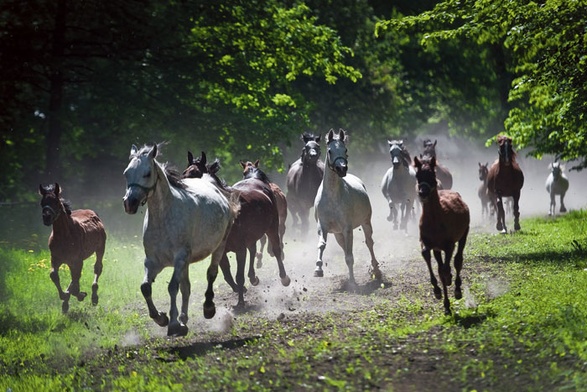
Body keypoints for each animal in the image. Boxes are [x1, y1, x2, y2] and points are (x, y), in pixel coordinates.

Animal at [39, 182, 107, 314]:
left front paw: (80, 295)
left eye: (56, 202)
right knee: (75, 277)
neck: (64, 236)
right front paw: (65, 297)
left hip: (100, 248)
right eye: (42, 203)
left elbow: (75, 284)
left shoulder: (76, 260)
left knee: (97, 268)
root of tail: (93, 213)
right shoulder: (56, 259)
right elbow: (54, 275)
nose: (46, 218)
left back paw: (94, 296)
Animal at [123, 144, 238, 336]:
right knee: (186, 286)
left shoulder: (180, 257)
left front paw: (174, 323)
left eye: (147, 173)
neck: (163, 219)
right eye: (126, 173)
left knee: (211, 273)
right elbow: (146, 287)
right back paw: (184, 319)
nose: (129, 203)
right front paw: (161, 318)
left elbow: (172, 287)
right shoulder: (153, 262)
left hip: (219, 246)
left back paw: (208, 308)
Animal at [314, 129, 384, 284]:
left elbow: (350, 256)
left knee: (369, 242)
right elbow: (322, 244)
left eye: (345, 149)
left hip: (365, 222)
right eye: (330, 150)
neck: (332, 197)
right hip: (338, 234)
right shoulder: (323, 226)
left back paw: (376, 270)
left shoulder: (347, 228)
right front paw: (318, 268)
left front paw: (352, 282)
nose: (342, 168)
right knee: (345, 248)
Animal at [414, 156, 474, 316]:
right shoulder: (428, 243)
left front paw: (450, 285)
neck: (435, 221)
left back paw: (457, 288)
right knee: (442, 265)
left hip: (464, 233)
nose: (423, 193)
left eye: (432, 175)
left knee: (458, 260)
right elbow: (427, 256)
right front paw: (438, 292)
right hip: (437, 248)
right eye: (417, 176)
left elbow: (446, 269)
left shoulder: (449, 245)